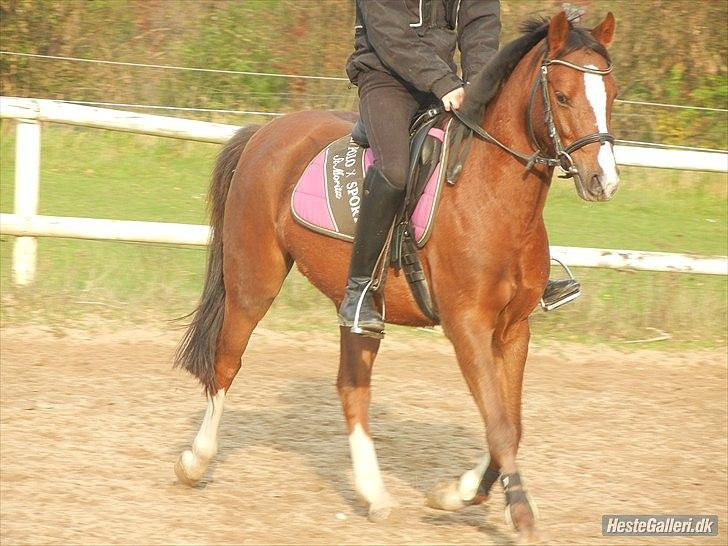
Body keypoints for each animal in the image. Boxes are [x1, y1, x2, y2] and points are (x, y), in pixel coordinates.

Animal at [173, 11, 618, 543]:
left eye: (612, 94)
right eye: (563, 96)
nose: (603, 181)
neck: (491, 195)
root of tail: (267, 133)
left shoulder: (514, 329)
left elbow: (510, 422)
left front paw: (457, 493)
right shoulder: (467, 326)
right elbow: (500, 424)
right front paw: (519, 514)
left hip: (359, 309)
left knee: (351, 386)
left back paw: (374, 494)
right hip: (252, 282)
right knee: (226, 363)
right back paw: (195, 462)